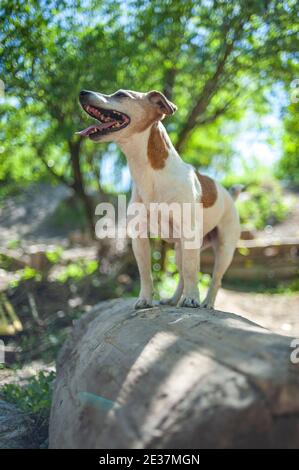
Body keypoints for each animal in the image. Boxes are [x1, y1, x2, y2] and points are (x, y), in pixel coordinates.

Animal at [77, 89, 241, 308]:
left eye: (121, 94)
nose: (82, 92)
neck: (149, 173)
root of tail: (229, 196)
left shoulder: (189, 234)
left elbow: (192, 271)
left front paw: (192, 298)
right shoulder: (139, 236)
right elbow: (146, 273)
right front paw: (145, 300)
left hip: (224, 249)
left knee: (214, 278)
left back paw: (206, 302)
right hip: (180, 250)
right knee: (182, 274)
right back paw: (173, 299)